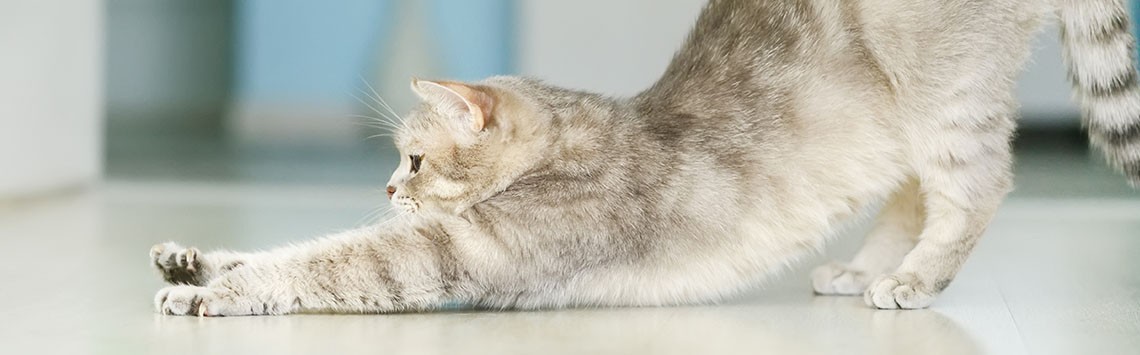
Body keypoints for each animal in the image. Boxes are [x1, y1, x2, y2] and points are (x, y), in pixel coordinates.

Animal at [151, 0, 1140, 317]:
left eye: (417, 160)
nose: (387, 184)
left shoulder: (463, 249)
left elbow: (331, 260)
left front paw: (212, 290)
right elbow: (293, 246)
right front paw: (195, 257)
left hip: (941, 92)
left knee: (977, 186)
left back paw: (913, 279)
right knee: (909, 195)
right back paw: (863, 270)